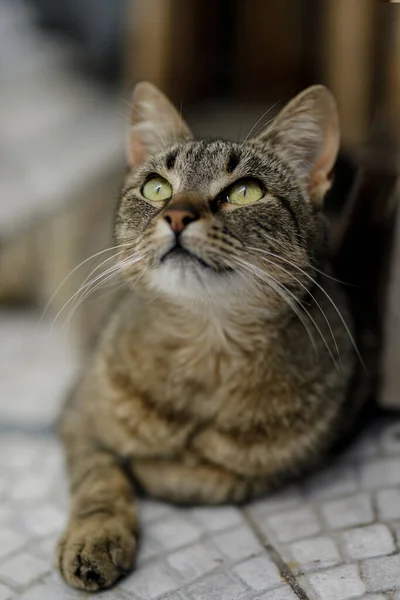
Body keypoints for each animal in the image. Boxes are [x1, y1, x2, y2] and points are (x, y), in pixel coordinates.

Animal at [57, 83, 372, 592]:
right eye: (157, 188)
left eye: (245, 192)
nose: (177, 216)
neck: (206, 352)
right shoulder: (76, 411)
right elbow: (99, 477)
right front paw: (95, 536)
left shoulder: (319, 441)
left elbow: (208, 476)